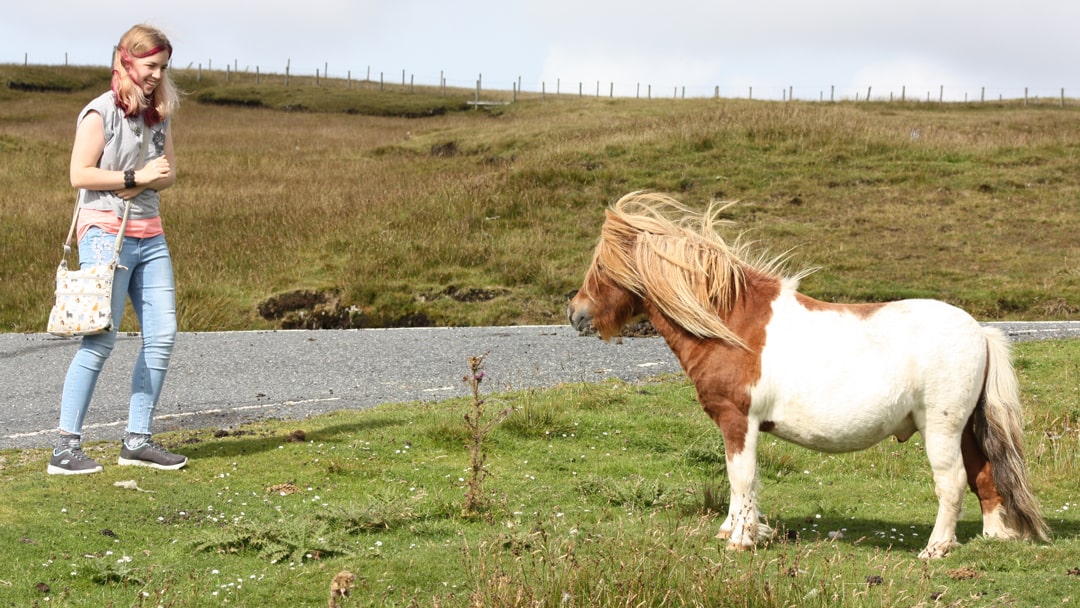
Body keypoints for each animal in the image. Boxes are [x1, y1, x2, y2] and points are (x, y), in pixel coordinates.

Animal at [567, 191, 1049, 559]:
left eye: (602, 267)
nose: (575, 313)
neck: (732, 324)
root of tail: (980, 331)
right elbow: (740, 482)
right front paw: (731, 530)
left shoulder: (739, 421)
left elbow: (741, 477)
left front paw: (741, 540)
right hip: (965, 427)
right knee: (983, 473)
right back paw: (994, 537)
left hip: (942, 429)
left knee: (952, 483)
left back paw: (935, 549)